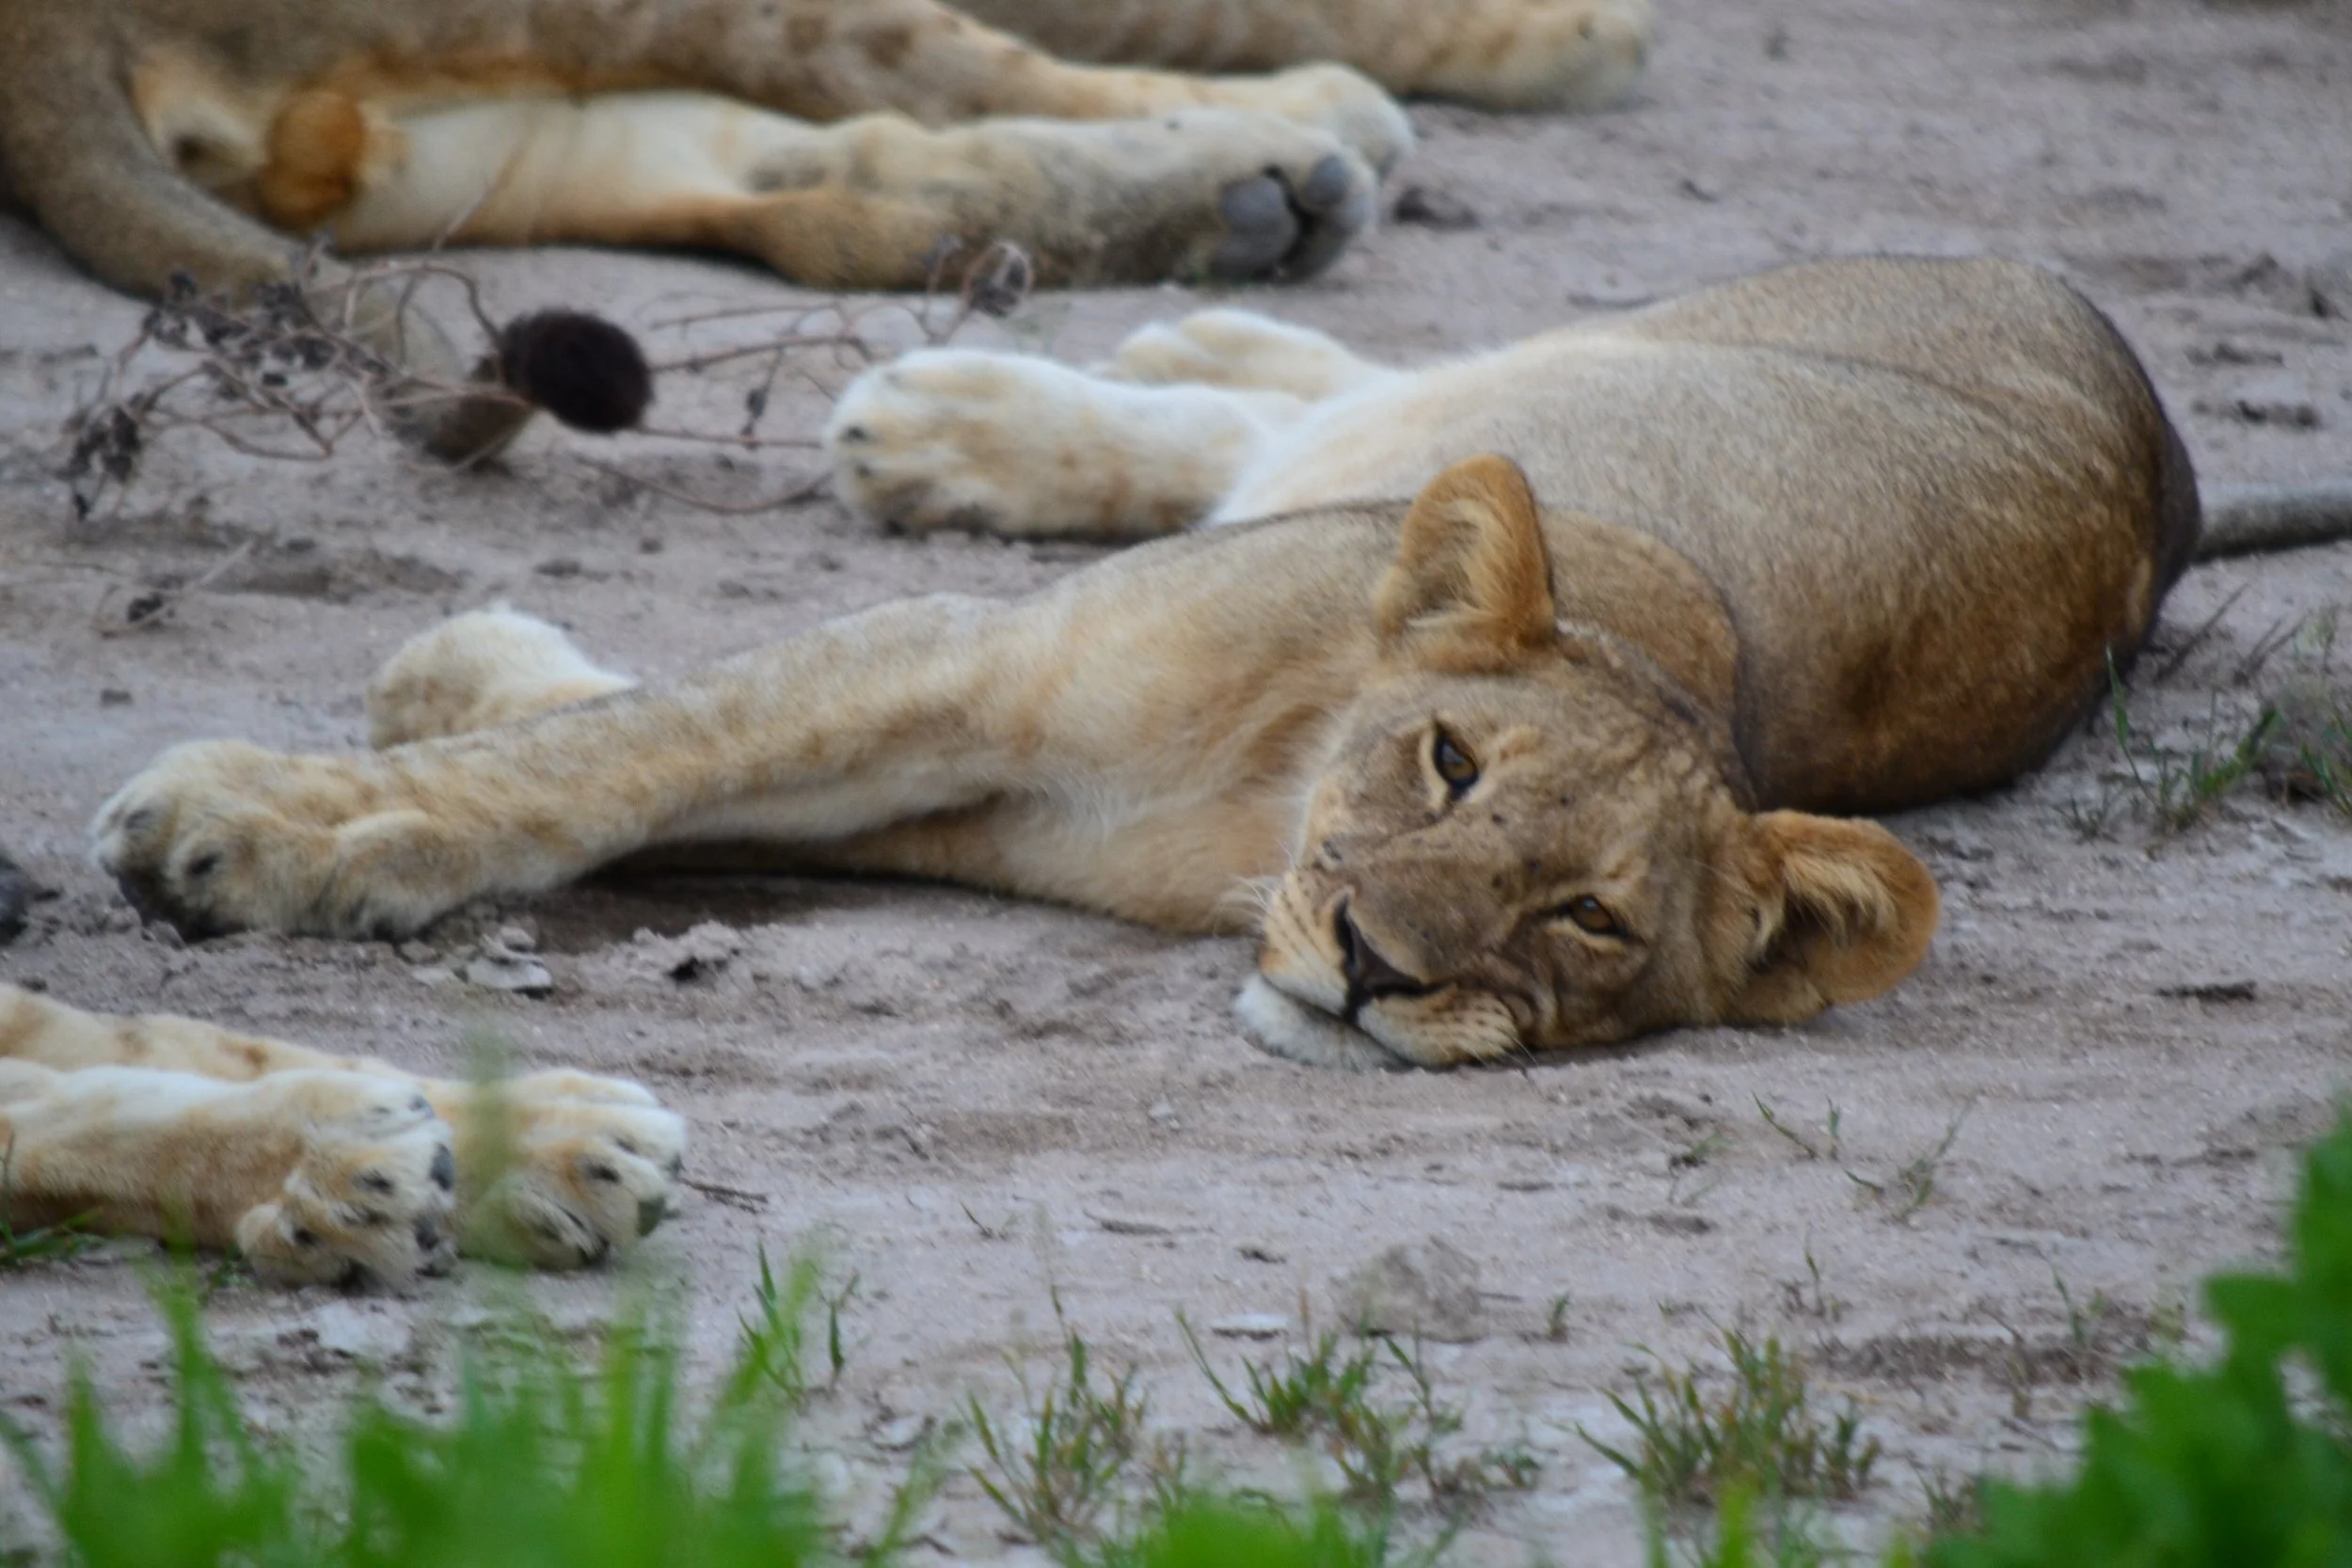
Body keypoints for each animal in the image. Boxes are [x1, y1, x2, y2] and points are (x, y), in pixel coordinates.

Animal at [18, 253, 2351, 1278]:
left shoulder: (991, 796)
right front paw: (252, 821)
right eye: (1444, 757)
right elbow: (610, 758)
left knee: (1296, 404)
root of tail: (2172, 473)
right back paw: (1011, 383)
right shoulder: (966, 677)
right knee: (1358, 374)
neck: (1255, 800)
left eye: (1586, 917)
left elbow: (626, 758)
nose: (1378, 968)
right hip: (1636, 341)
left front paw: (413, 722)